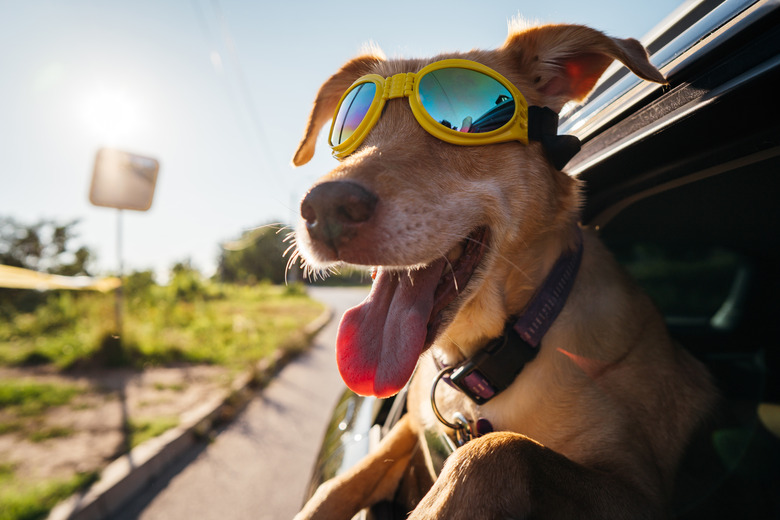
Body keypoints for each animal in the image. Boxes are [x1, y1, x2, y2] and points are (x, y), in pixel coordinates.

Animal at [290, 20, 712, 520]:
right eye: (352, 124)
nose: (323, 209)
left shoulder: (638, 490)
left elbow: (495, 451)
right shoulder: (410, 428)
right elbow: (335, 486)